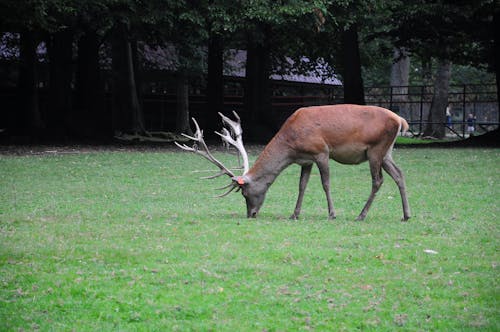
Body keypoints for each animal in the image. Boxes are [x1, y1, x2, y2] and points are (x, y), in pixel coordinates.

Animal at [176, 104, 410, 220]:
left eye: (245, 193)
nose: (251, 214)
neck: (290, 144)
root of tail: (401, 120)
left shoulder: (321, 151)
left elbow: (325, 183)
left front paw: (332, 214)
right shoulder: (305, 160)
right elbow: (302, 186)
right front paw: (294, 214)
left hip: (376, 149)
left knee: (378, 181)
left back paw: (361, 215)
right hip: (386, 152)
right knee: (399, 174)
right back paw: (406, 215)